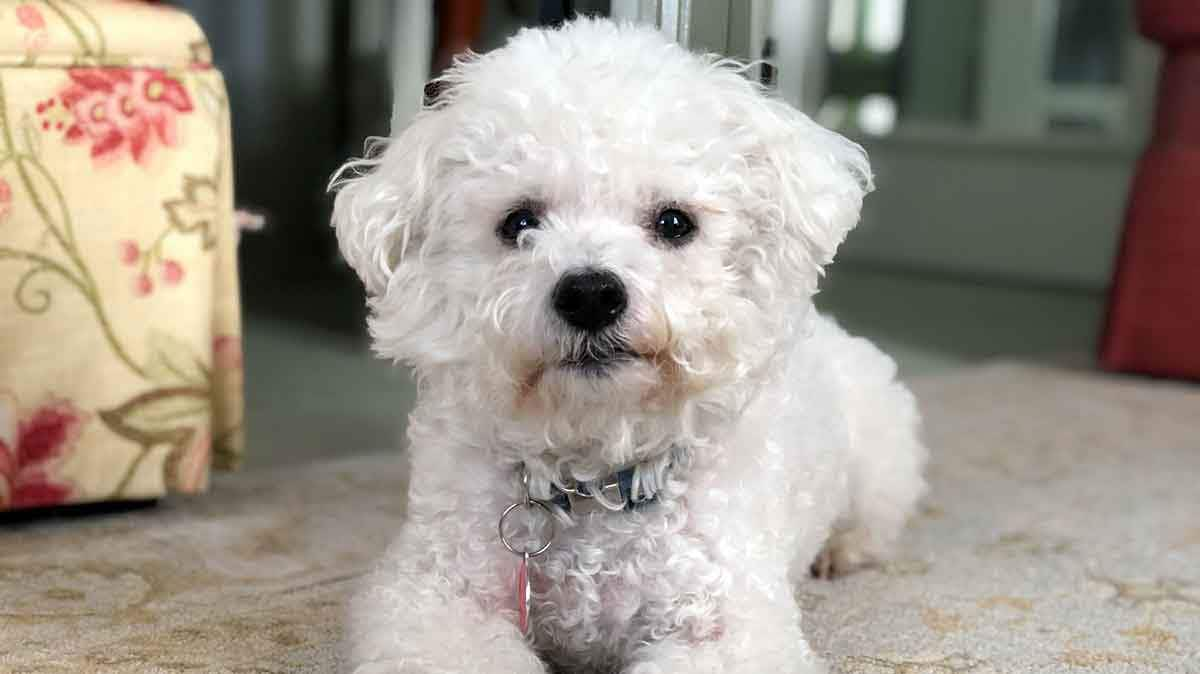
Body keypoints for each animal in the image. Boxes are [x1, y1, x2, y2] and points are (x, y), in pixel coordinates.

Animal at [333, 17, 921, 671]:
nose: (590, 294)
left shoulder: (730, 628)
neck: (597, 481)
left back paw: (840, 551)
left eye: (674, 222)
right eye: (518, 222)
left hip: (880, 459)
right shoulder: (433, 599)